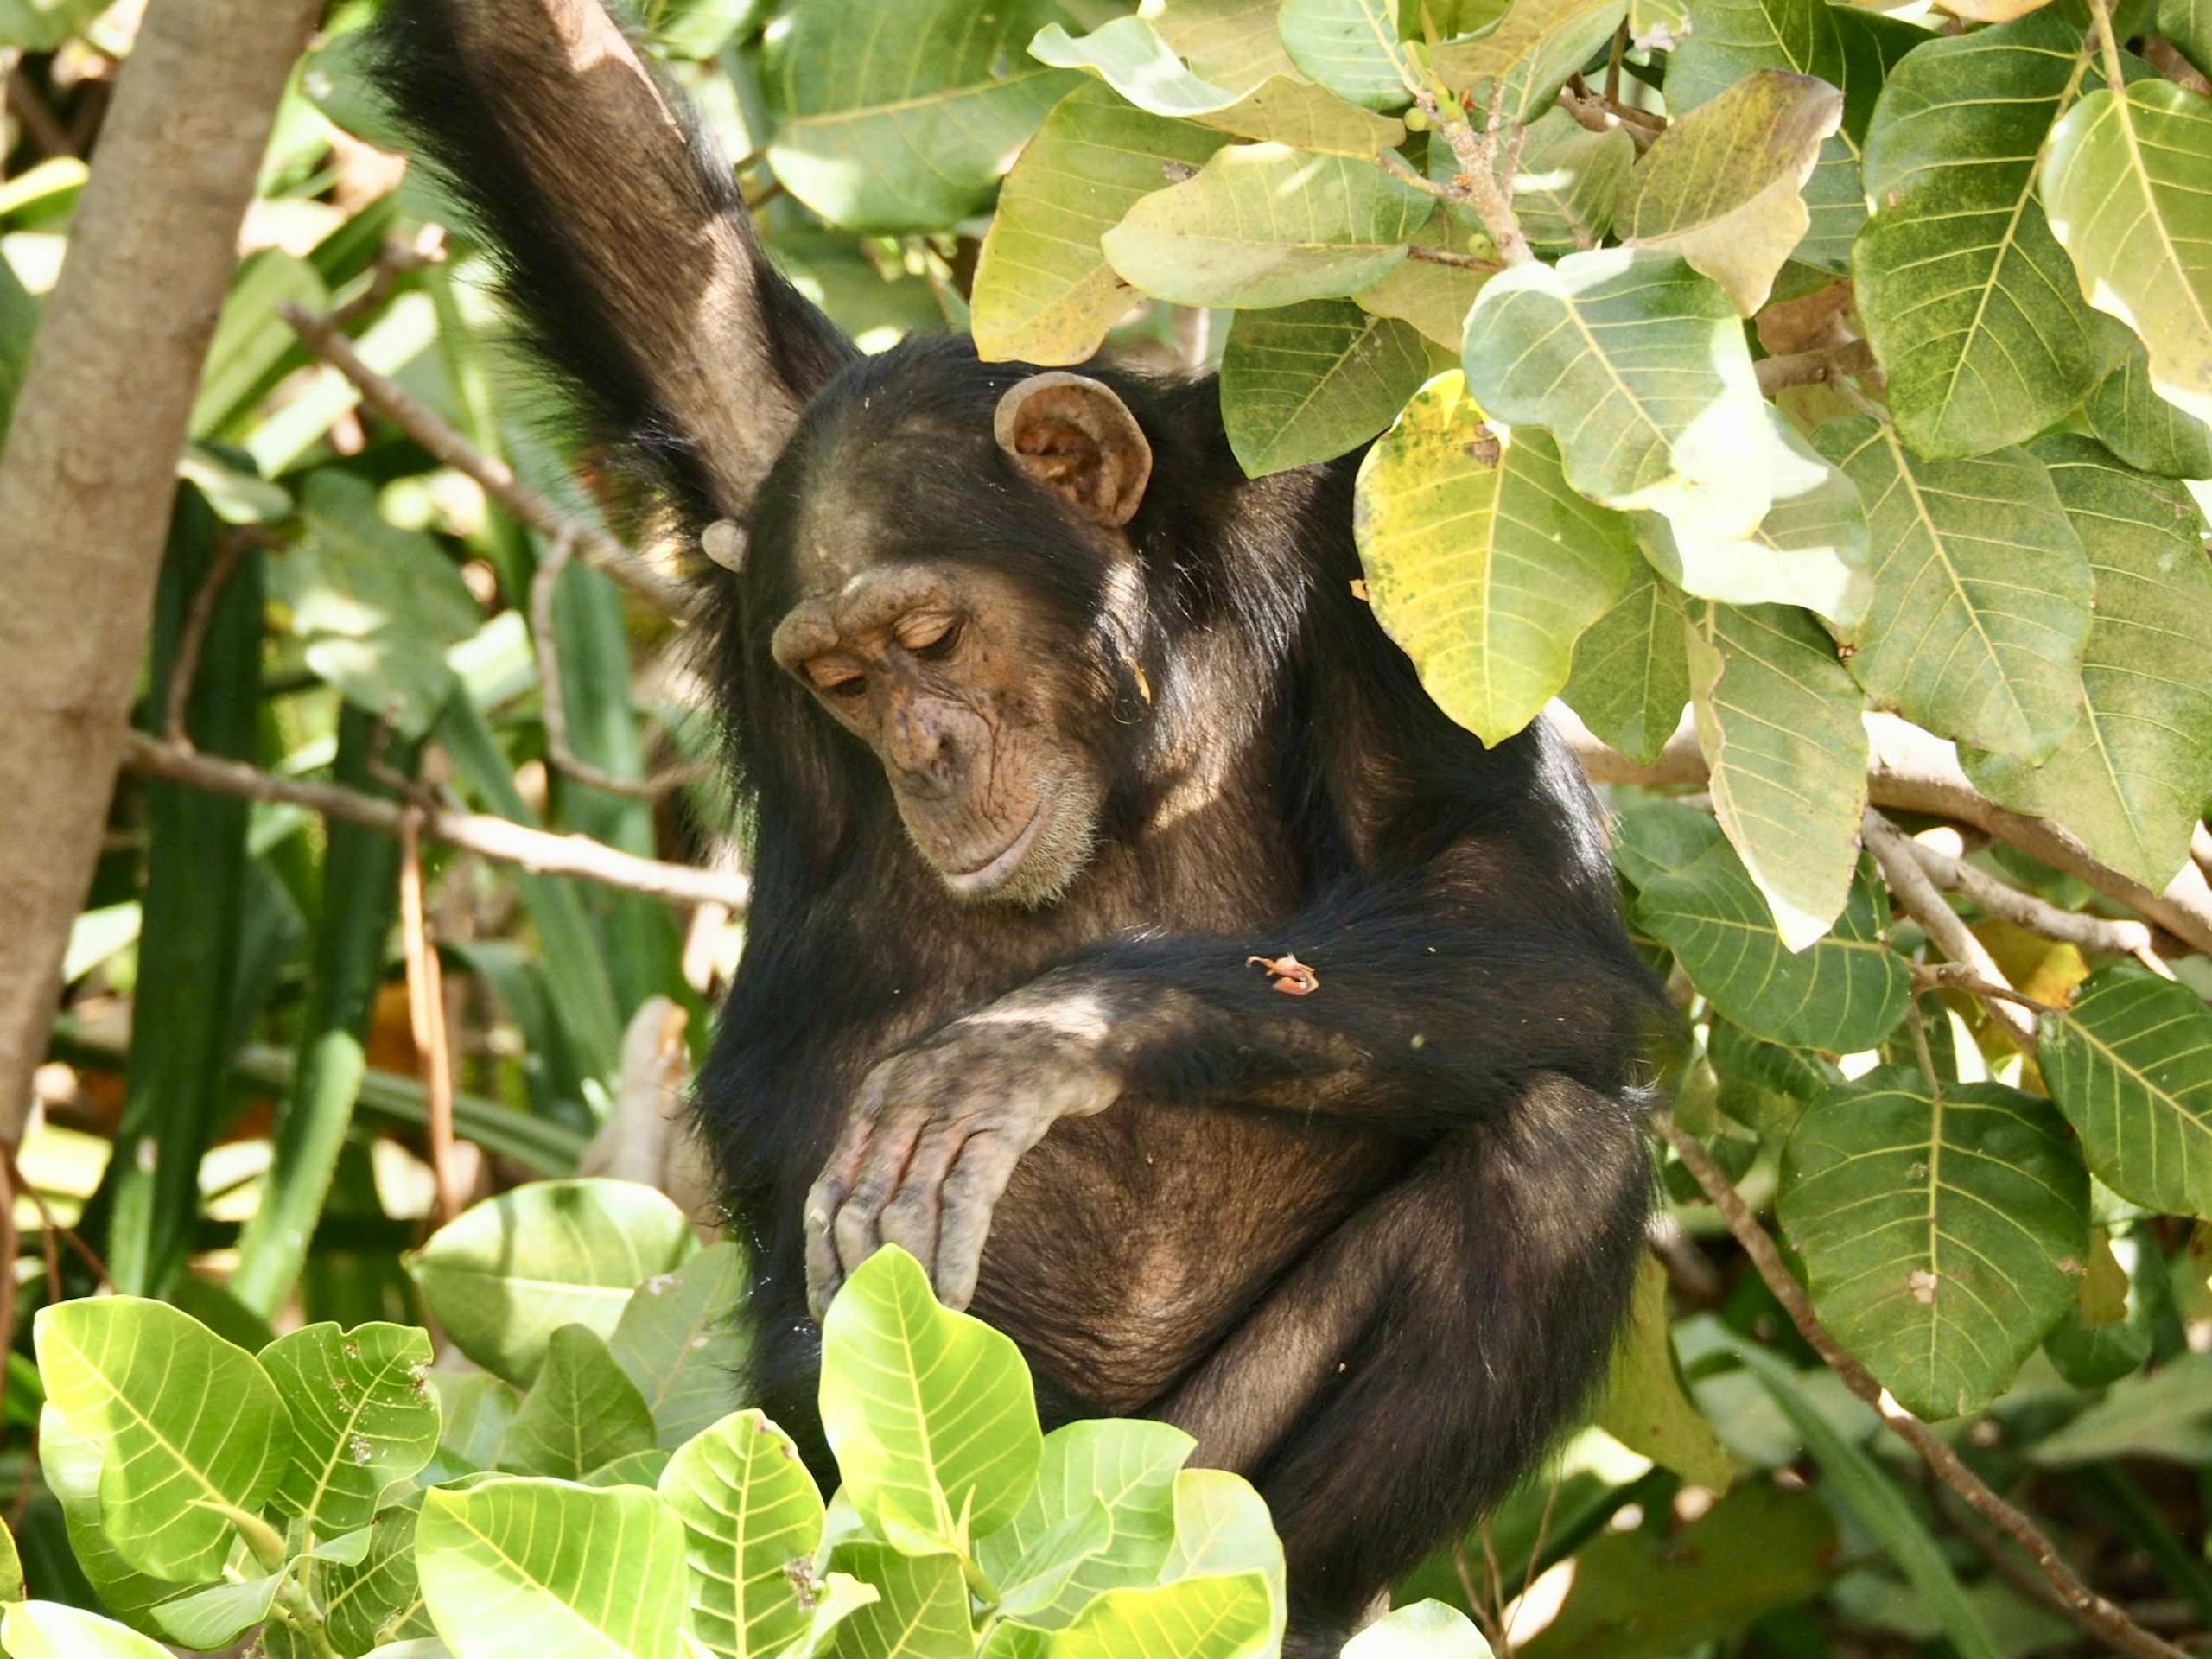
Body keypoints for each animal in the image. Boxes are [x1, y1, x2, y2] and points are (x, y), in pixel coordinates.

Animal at [370, 4, 1659, 1650]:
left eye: (929, 635)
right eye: (840, 678)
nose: (925, 749)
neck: (1150, 696)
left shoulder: (1374, 542)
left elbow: (1518, 899)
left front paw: (1047, 1041)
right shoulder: (742, 444)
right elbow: (577, 134)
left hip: (1159, 1494)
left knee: (1558, 1158)